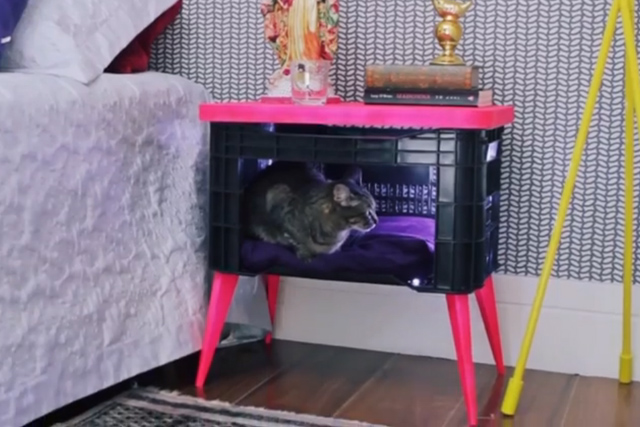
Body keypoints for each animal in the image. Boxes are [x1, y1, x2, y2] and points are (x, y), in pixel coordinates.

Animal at [242, 161, 378, 261]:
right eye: (368, 212)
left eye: (375, 209)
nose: (377, 221)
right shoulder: (281, 213)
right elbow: (296, 241)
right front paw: (305, 255)